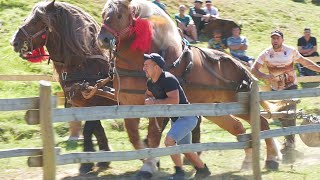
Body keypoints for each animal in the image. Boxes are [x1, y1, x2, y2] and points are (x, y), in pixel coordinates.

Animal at [10, 0, 117, 174]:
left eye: (36, 21)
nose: (14, 42)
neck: (84, 64)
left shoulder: (93, 103)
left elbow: (88, 130)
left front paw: (86, 164)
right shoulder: (84, 105)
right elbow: (97, 129)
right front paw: (103, 159)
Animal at [98, 0, 280, 177]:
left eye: (119, 15)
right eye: (103, 14)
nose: (103, 39)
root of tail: (238, 63)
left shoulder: (159, 107)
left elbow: (153, 136)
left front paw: (149, 166)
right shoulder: (127, 104)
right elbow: (134, 137)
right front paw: (149, 160)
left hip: (239, 105)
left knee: (262, 122)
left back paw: (272, 158)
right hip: (214, 108)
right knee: (238, 127)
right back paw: (248, 161)